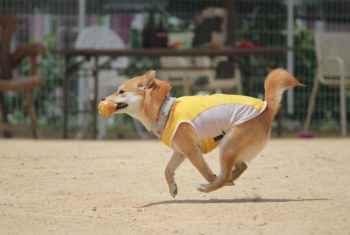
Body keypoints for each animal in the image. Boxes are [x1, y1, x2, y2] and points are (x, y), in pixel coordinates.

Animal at [98, 69, 304, 197]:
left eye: (121, 91)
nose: (101, 98)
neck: (165, 110)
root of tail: (267, 109)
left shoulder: (191, 150)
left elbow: (204, 171)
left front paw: (211, 181)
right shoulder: (180, 151)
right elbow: (167, 169)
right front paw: (173, 188)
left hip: (227, 144)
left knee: (225, 174)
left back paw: (210, 187)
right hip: (232, 146)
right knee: (241, 166)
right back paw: (230, 178)